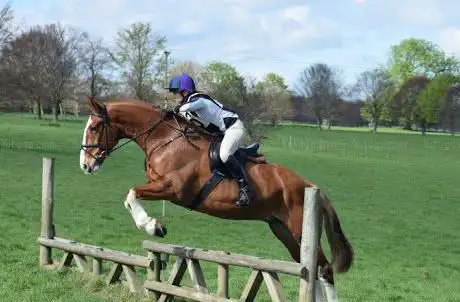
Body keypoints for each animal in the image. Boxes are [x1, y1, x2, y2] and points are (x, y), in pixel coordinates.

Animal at [79, 96, 354, 300]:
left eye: (93, 127)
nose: (85, 165)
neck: (163, 139)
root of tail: (310, 186)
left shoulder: (173, 188)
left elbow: (132, 193)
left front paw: (153, 226)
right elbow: (130, 196)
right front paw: (153, 226)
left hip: (298, 227)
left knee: (325, 269)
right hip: (283, 230)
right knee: (313, 269)